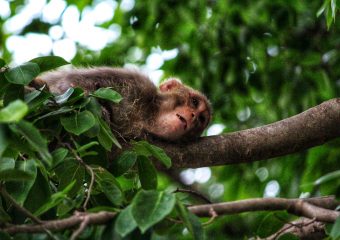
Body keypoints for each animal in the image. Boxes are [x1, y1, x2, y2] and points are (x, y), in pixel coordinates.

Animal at [32, 67, 212, 142]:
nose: (194, 116)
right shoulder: (137, 83)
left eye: (201, 119)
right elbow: (72, 82)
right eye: (194, 102)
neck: (147, 115)